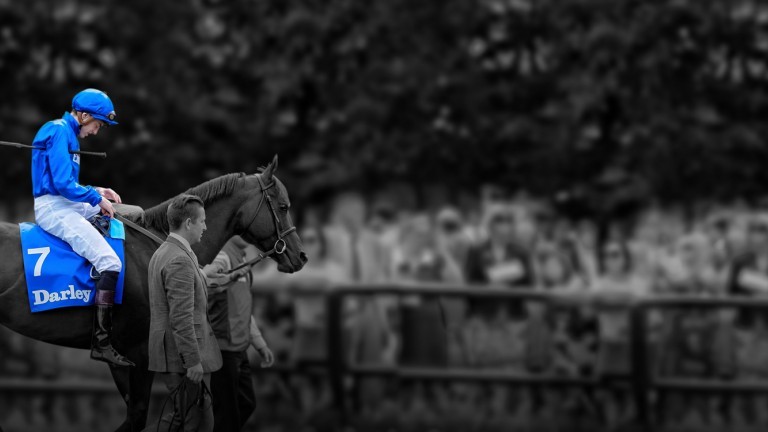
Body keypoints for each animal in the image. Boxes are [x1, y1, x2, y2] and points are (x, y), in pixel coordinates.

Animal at [0, 155, 306, 431]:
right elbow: (138, 416)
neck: (156, 244)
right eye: (283, 206)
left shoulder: (136, 356)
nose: (300, 256)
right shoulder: (138, 352)